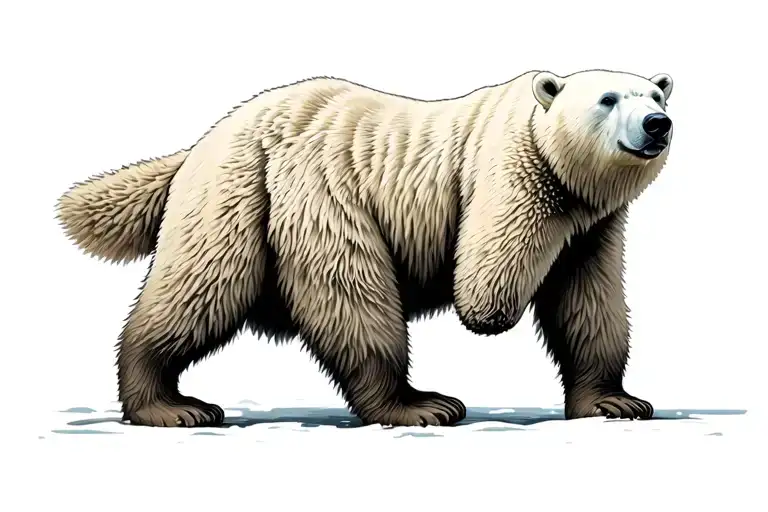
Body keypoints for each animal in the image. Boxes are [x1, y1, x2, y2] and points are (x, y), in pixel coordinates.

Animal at [56, 69, 674, 428]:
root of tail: (205, 139)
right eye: (608, 98)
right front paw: (490, 312)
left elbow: (588, 303)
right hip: (287, 192)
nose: (657, 124)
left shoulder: (594, 228)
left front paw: (615, 401)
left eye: (656, 92)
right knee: (258, 288)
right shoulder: (509, 175)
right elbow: (485, 283)